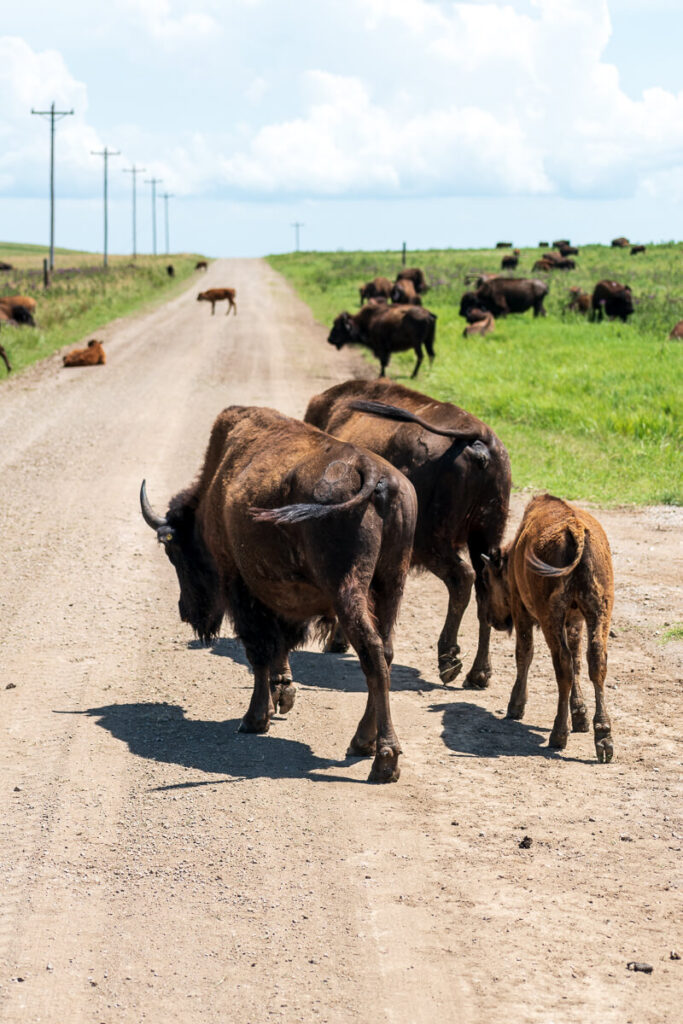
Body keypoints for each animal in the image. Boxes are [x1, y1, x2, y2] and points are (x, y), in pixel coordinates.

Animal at [140, 405, 417, 783]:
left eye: (175, 552)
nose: (186, 611)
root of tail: (371, 471)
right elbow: (279, 647)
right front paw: (281, 693)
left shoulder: (241, 587)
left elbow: (259, 650)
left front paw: (254, 719)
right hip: (391, 583)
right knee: (385, 652)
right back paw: (362, 742)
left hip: (348, 590)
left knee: (371, 653)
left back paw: (383, 759)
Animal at [304, 379, 511, 687]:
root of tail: (479, 438)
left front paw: (336, 642)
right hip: (484, 538)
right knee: (483, 589)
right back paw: (478, 674)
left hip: (431, 543)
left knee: (461, 578)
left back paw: (448, 661)